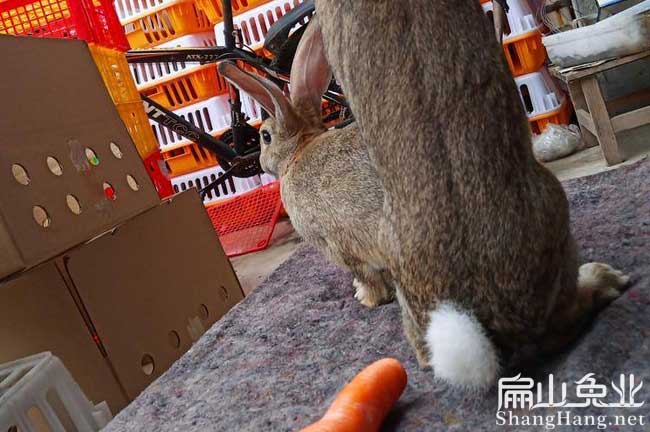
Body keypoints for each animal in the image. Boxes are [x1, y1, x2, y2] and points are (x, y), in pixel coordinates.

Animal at [216, 24, 394, 308]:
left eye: (265, 136)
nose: (260, 162)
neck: (296, 153)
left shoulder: (339, 244)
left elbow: (366, 276)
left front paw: (366, 300)